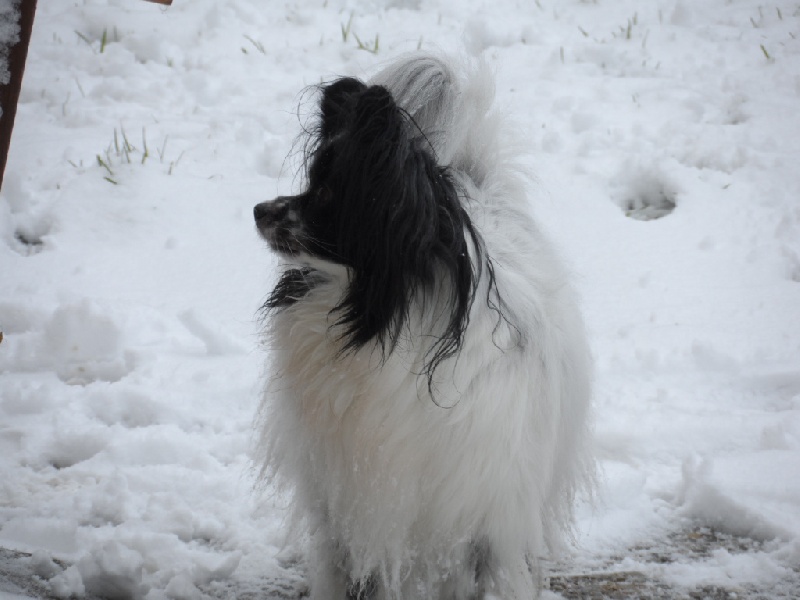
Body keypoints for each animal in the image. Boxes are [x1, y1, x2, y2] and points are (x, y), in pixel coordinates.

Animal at [256, 54, 592, 596]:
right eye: (311, 181)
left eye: (327, 193)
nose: (258, 210)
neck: (381, 327)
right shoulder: (350, 511)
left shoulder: (487, 519)